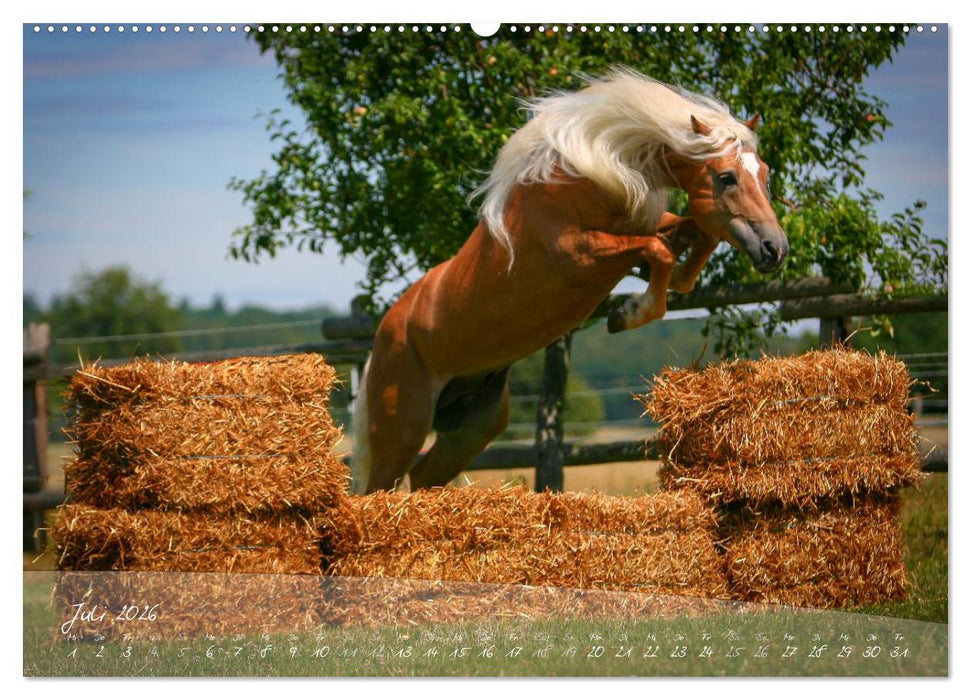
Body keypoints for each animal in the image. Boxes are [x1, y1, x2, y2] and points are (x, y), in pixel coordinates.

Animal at [351, 69, 788, 494]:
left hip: (473, 426)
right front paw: (627, 314)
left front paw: (661, 289)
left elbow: (695, 240)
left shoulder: (648, 229)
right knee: (379, 487)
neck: (591, 174)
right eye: (727, 177)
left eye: (764, 173)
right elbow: (659, 252)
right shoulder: (581, 257)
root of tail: (379, 343)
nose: (775, 248)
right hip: (402, 429)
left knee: (424, 475)